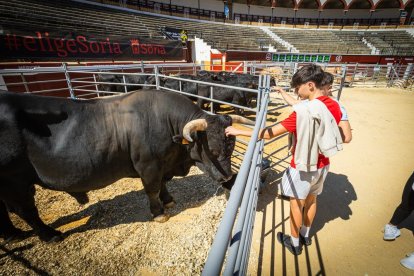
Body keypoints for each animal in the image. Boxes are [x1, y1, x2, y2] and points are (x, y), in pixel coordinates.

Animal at [0, 90, 252, 242]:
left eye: (232, 147)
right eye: (214, 151)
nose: (227, 178)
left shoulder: (162, 166)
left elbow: (163, 186)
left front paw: (168, 200)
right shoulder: (149, 166)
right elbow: (152, 189)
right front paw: (158, 213)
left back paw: (13, 234)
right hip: (14, 182)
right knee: (26, 210)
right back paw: (49, 235)